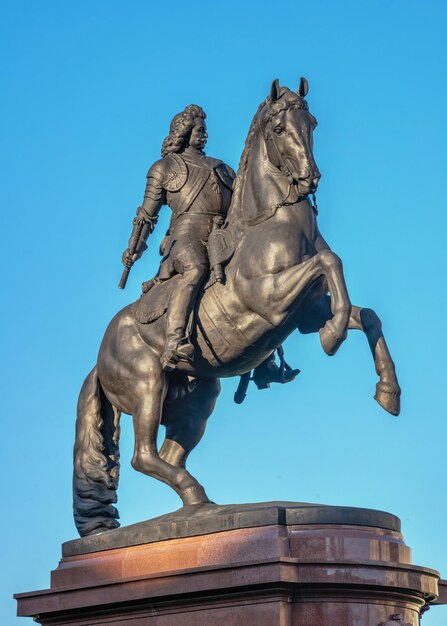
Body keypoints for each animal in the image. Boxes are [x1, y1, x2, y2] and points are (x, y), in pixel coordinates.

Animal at [72, 78, 400, 536]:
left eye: (313, 123)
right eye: (279, 128)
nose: (310, 178)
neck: (270, 223)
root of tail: (99, 358)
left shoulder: (306, 314)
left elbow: (363, 312)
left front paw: (388, 391)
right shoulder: (271, 299)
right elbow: (330, 263)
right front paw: (334, 339)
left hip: (196, 398)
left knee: (168, 455)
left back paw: (200, 507)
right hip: (147, 385)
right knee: (142, 455)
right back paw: (197, 496)